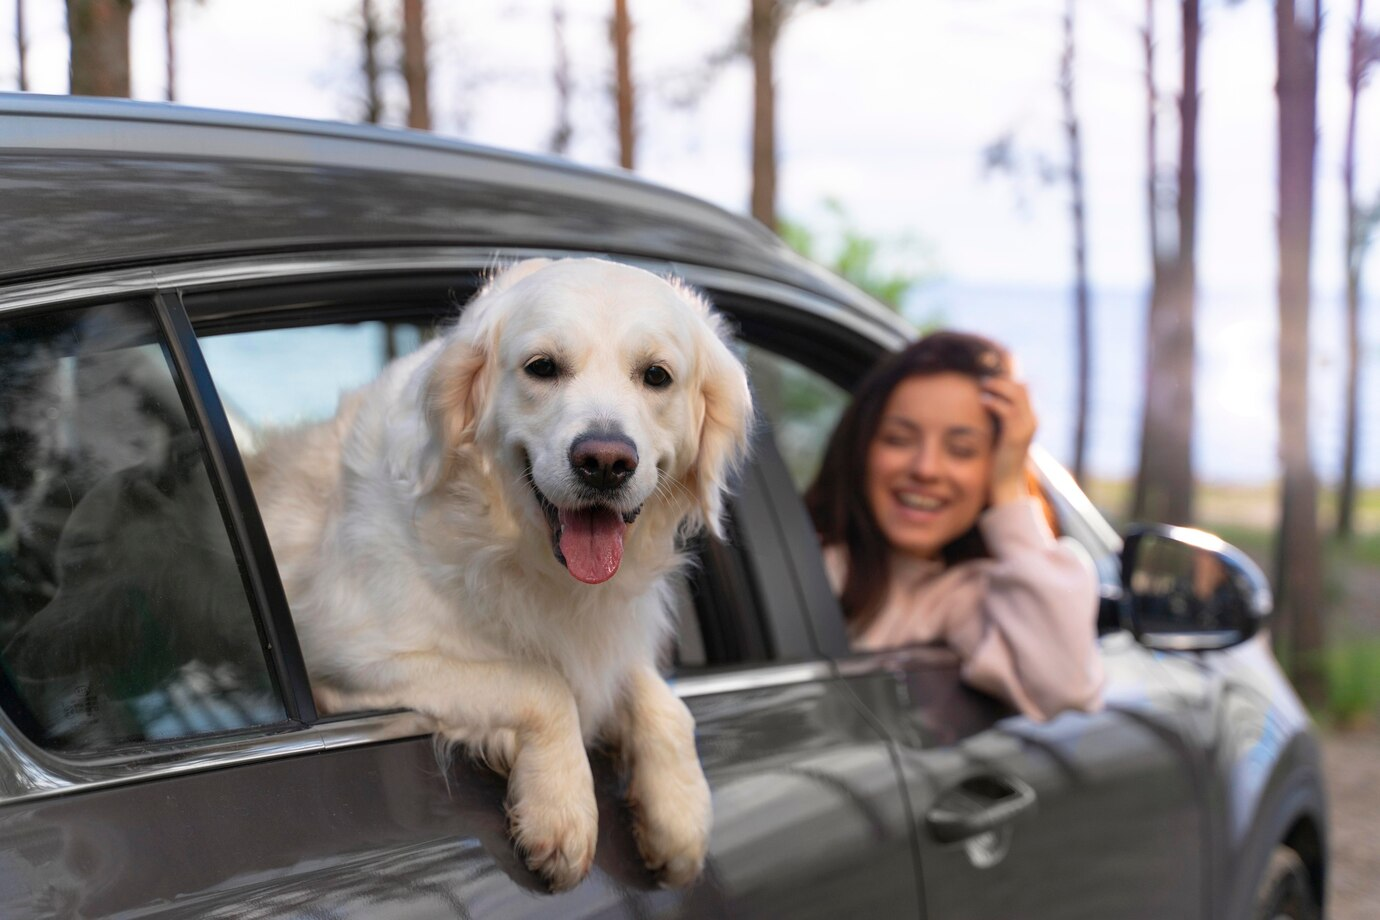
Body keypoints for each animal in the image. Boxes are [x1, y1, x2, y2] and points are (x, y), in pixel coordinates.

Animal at [242, 259, 750, 893]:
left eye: (656, 376)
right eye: (542, 367)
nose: (605, 462)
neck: (514, 549)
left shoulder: (607, 637)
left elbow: (660, 699)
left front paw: (680, 814)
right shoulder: (346, 657)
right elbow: (541, 682)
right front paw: (561, 807)